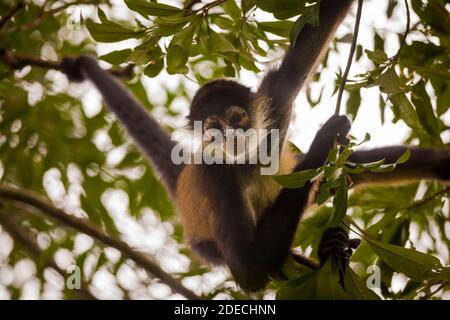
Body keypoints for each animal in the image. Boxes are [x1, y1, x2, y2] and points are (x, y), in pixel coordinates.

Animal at [60, 0, 450, 292]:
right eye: (213, 129)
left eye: (236, 120)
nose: (229, 137)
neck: (248, 159)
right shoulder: (214, 173)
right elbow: (249, 269)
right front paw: (322, 141)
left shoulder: (274, 99)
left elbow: (318, 28)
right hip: (207, 243)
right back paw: (328, 253)